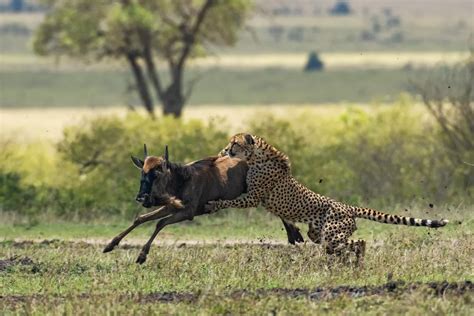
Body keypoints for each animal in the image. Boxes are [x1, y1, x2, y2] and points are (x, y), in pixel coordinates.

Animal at [206, 132, 448, 262]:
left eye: (235, 143)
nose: (227, 149)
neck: (257, 156)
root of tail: (347, 206)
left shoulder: (253, 197)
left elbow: (231, 201)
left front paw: (214, 204)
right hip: (317, 233)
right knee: (347, 244)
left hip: (331, 234)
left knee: (356, 243)